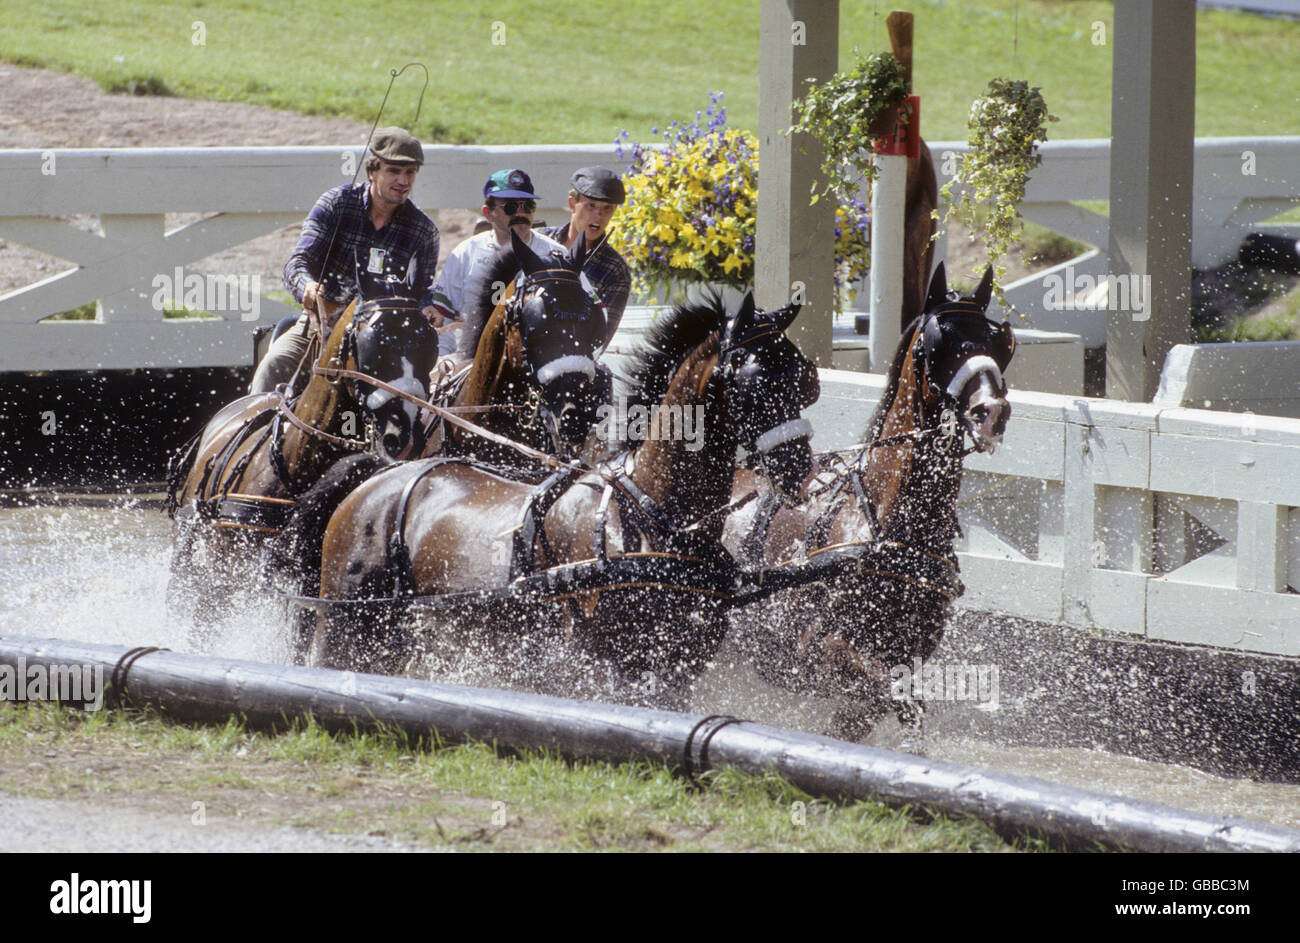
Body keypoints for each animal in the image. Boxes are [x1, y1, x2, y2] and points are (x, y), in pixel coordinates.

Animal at [309, 290, 816, 697]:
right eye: (755, 382)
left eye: (804, 380)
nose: (800, 467)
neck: (649, 515)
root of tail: (378, 479)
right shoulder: (594, 669)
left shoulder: (675, 674)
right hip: (344, 628)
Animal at [722, 261, 1013, 738]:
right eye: (941, 341)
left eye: (1000, 342)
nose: (991, 412)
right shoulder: (822, 653)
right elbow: (902, 702)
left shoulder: (898, 663)